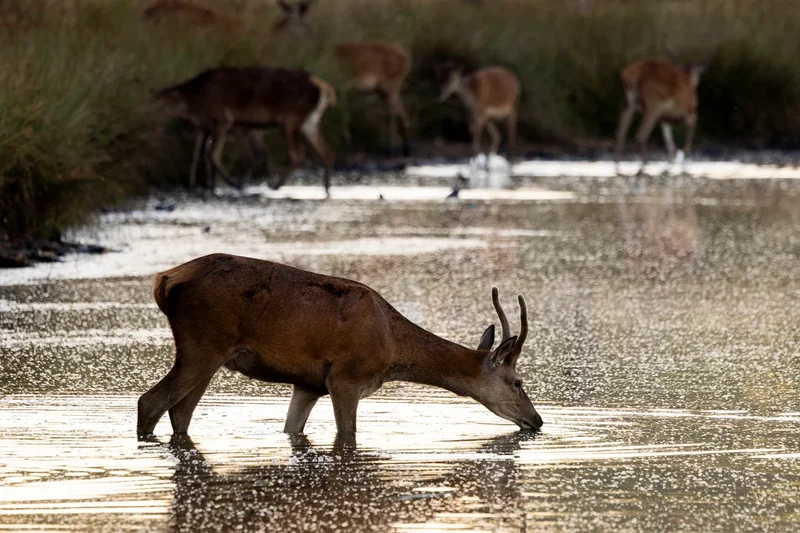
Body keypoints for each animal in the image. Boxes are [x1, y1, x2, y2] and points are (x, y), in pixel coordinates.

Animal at [137, 253, 543, 440]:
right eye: (518, 382)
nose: (537, 420)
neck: (393, 348)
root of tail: (164, 279)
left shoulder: (309, 383)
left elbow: (292, 429)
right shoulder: (346, 378)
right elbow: (348, 434)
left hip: (208, 355)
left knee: (180, 412)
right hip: (202, 344)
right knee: (150, 402)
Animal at [153, 66, 336, 195]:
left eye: (158, 103)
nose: (148, 114)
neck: (194, 102)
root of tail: (325, 88)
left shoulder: (224, 120)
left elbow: (213, 154)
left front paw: (231, 183)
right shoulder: (222, 127)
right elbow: (203, 154)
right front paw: (211, 185)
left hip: (290, 120)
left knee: (297, 154)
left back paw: (276, 185)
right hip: (309, 123)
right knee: (325, 150)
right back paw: (326, 187)